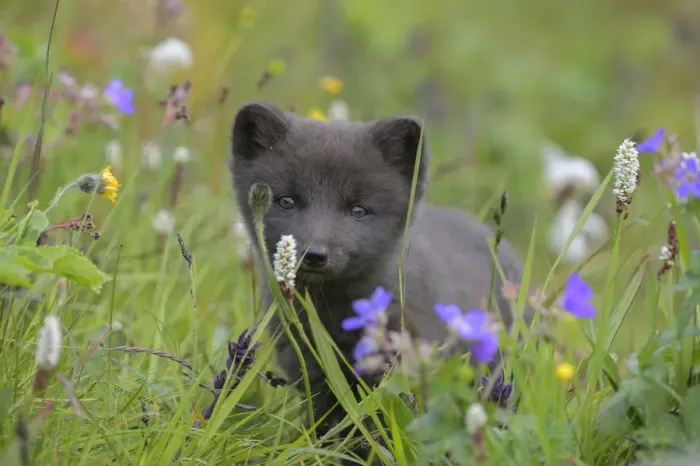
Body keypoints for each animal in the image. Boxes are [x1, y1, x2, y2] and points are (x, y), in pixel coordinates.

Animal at [228, 101, 531, 462]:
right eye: (286, 201)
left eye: (359, 210)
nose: (314, 254)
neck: (333, 321)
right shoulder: (314, 376)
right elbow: (330, 428)